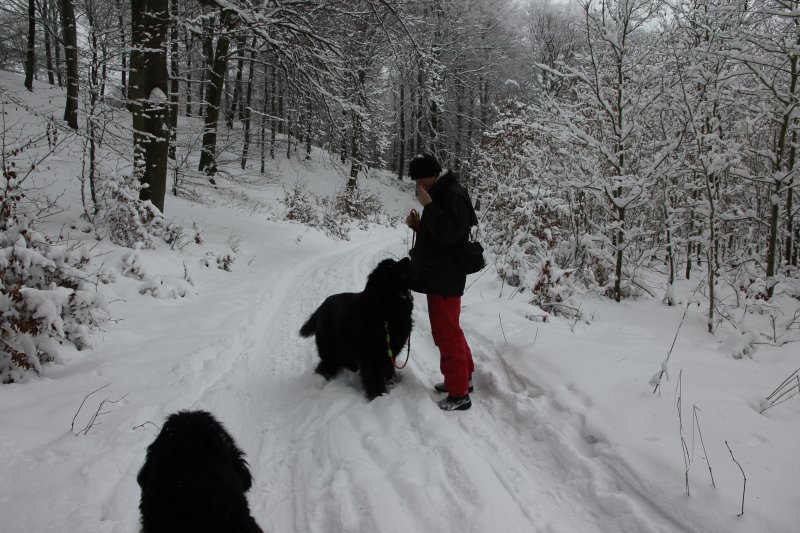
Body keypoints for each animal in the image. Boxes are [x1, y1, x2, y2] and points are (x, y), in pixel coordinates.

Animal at [299, 257, 413, 399]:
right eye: (391, 266)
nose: (408, 258)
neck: (385, 310)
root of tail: (319, 308)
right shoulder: (372, 356)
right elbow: (374, 378)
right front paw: (378, 396)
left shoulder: (390, 351)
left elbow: (388, 369)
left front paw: (390, 382)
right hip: (330, 347)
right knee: (325, 365)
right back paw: (321, 380)